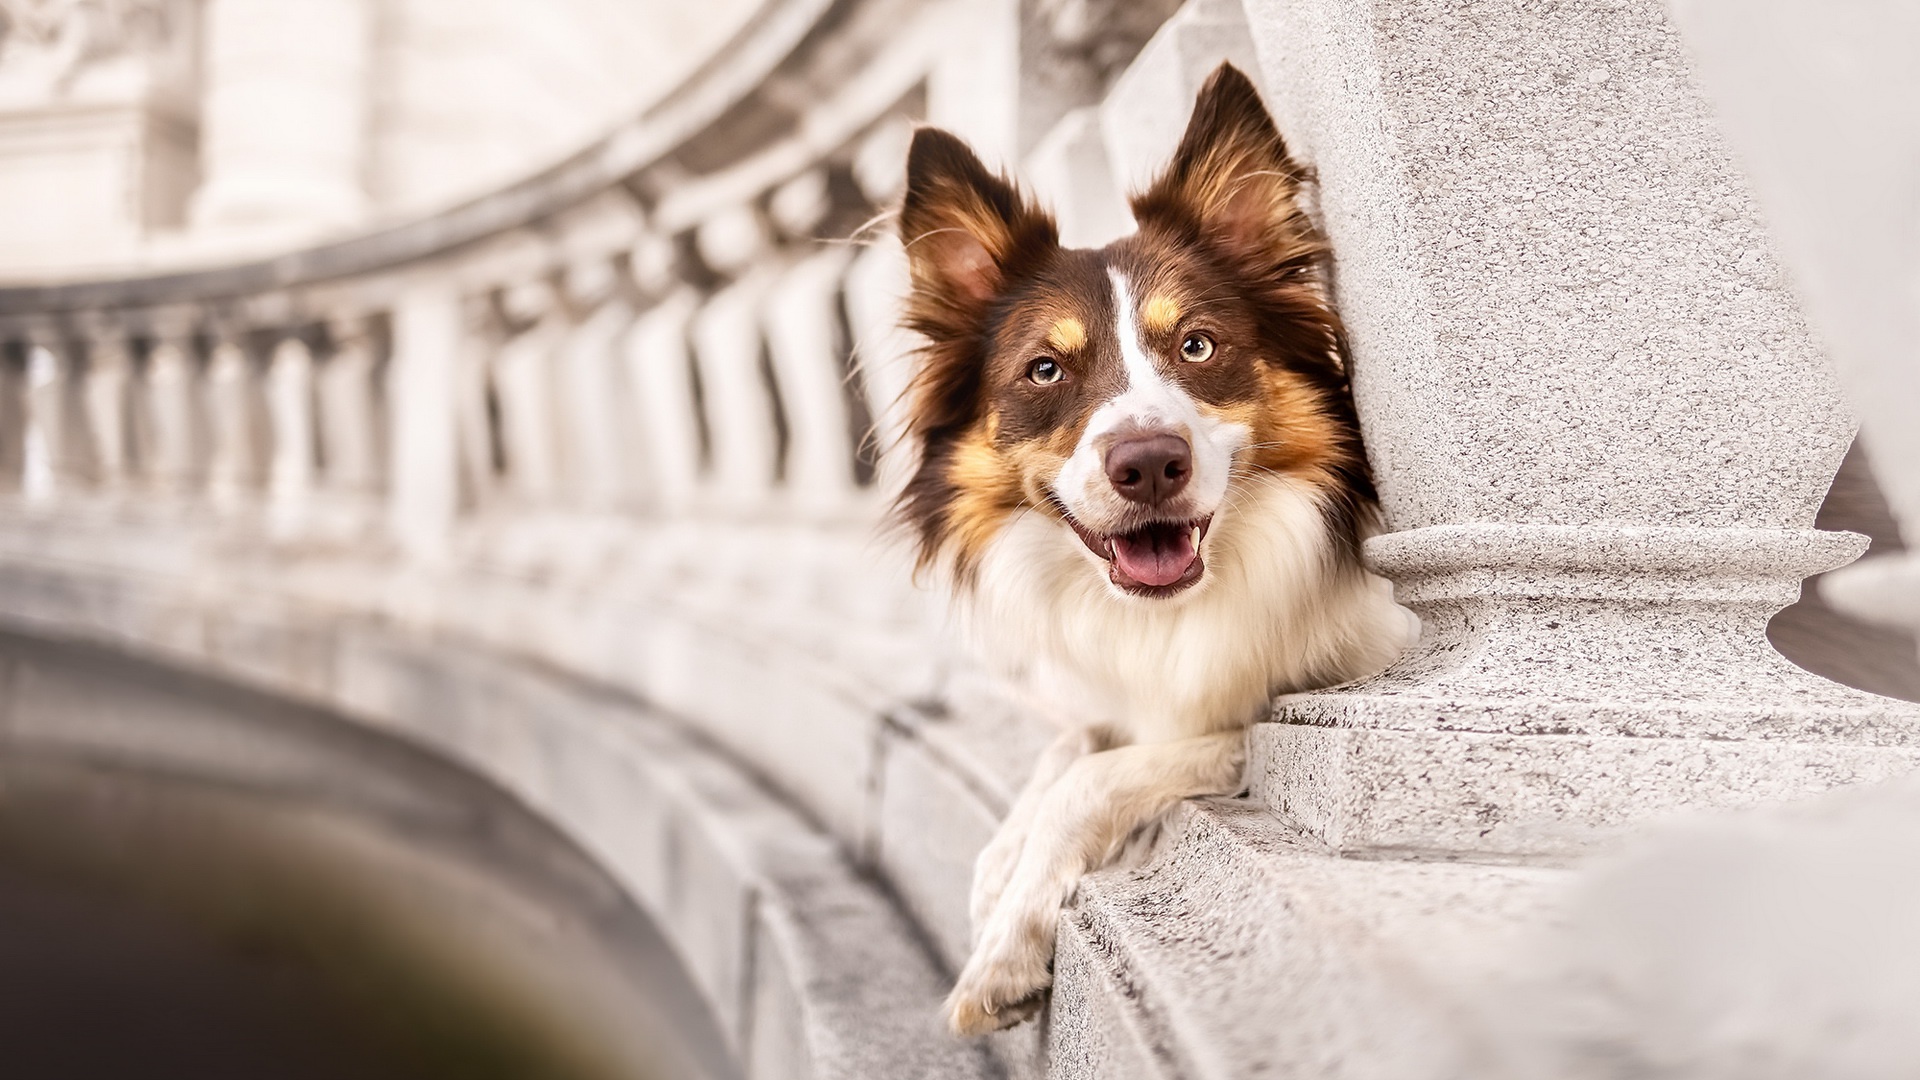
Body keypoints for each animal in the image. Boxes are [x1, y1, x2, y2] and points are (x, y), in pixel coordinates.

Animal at [890, 61, 1420, 1037]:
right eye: (1045, 370)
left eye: (1198, 346)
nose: (1147, 464)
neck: (1173, 610)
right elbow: (1070, 744)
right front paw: (997, 865)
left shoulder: (1283, 715)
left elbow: (1092, 778)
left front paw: (1005, 946)